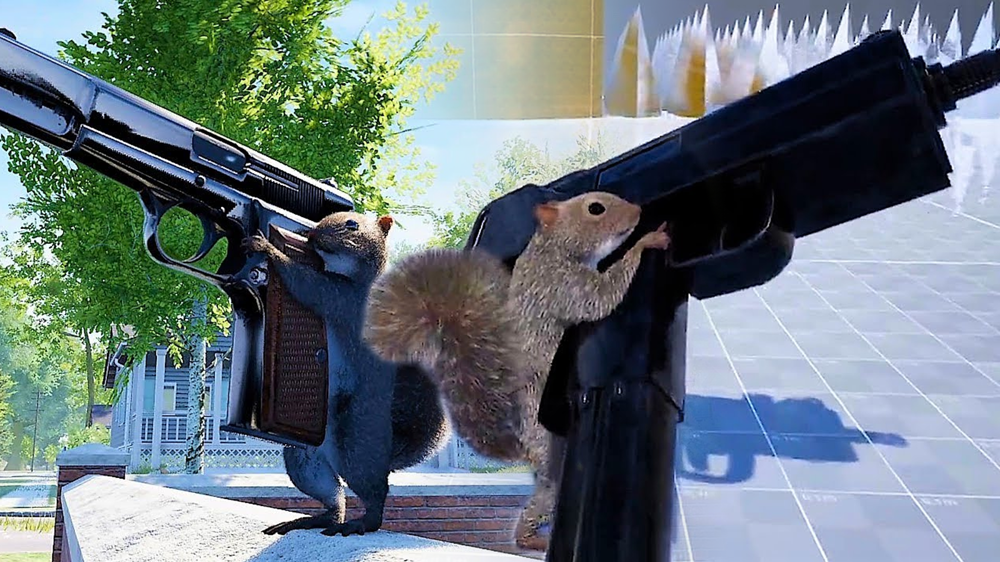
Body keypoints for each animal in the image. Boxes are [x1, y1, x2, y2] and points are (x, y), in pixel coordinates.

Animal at [244, 212, 451, 538]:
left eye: (352, 225)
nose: (312, 234)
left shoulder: (345, 299)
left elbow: (308, 285)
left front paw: (268, 249)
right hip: (304, 459)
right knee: (332, 497)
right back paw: (315, 519)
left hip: (356, 444)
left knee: (374, 492)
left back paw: (363, 521)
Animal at [363, 192, 670, 550]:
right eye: (595, 208)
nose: (637, 211)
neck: (550, 244)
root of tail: (522, 446)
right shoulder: (561, 284)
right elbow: (599, 298)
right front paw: (647, 241)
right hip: (549, 449)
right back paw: (532, 541)